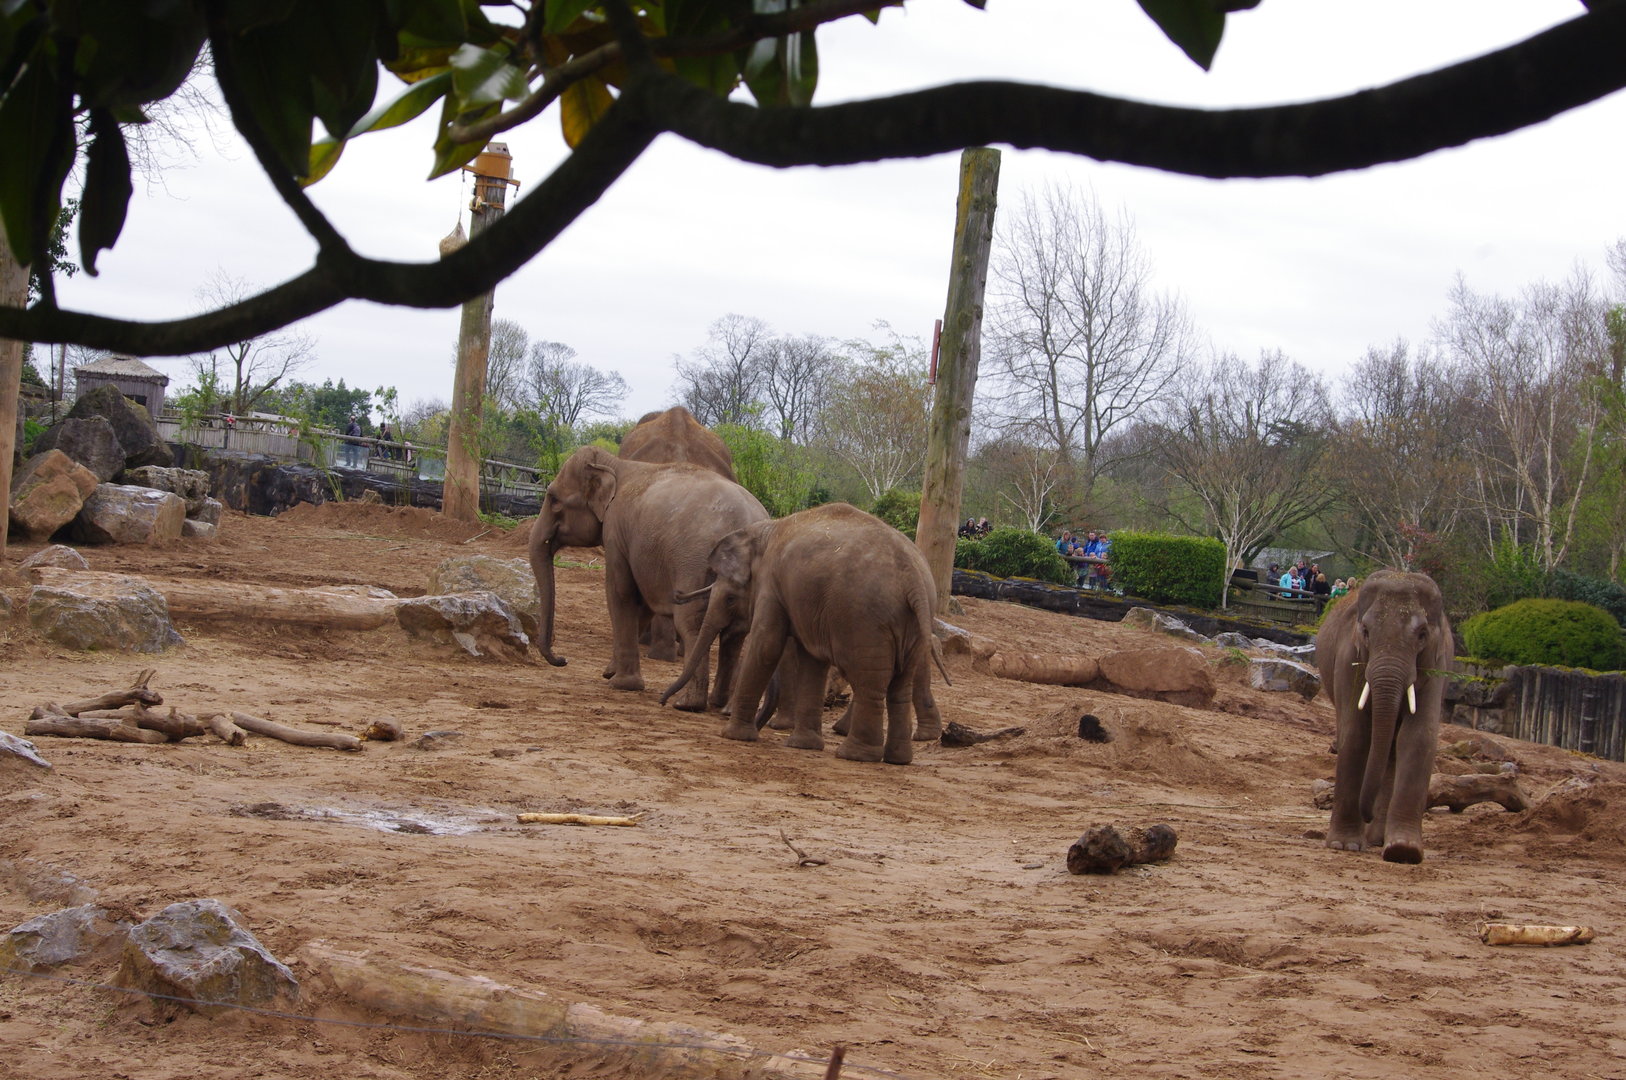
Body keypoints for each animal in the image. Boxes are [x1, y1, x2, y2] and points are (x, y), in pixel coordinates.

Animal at [527, 446, 768, 711]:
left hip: (694, 563)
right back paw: (716, 702)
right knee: (734, 632)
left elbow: (620, 591)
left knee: (692, 622)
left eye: (554, 500)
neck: (615, 464)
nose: (562, 659)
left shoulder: (615, 531)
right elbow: (643, 603)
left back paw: (688, 703)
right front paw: (610, 672)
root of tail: (748, 520)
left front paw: (621, 683)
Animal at [659, 503, 945, 765]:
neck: (764, 532)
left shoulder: (771, 584)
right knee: (900, 685)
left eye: (730, 599)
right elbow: (811, 660)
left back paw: (854, 755)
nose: (663, 702)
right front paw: (802, 745)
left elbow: (766, 646)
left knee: (869, 683)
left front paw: (732, 735)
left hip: (866, 623)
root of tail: (914, 581)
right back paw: (898, 759)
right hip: (910, 626)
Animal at [1315, 569, 1454, 863]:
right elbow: (1357, 734)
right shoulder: (1348, 657)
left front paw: (1404, 851)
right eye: (1366, 632)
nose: (1365, 813)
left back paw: (1379, 840)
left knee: (1392, 750)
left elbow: (1418, 738)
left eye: (1422, 634)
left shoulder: (1436, 665)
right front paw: (1344, 846)